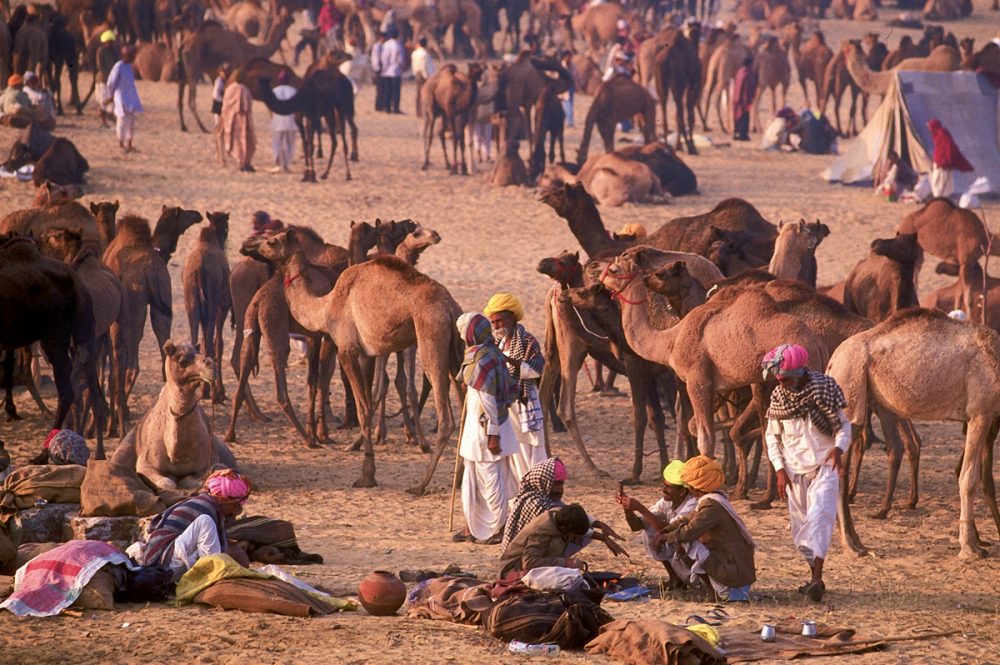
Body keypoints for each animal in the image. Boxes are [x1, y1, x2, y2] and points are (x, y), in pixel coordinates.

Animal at [38, 228, 130, 440]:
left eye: (52, 237)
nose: (37, 239)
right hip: (99, 333)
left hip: (117, 321)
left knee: (116, 369)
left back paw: (120, 431)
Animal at [111, 340, 238, 490]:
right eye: (182, 361)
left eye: (199, 353)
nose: (210, 363)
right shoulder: (146, 464)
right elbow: (167, 483)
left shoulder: (210, 458)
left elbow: (211, 471)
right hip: (126, 446)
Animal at [183, 210, 231, 402]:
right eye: (227, 227)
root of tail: (199, 272)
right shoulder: (223, 304)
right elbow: (218, 343)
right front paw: (220, 392)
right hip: (211, 304)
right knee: (210, 342)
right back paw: (210, 392)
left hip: (192, 304)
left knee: (195, 341)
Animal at [244, 228, 462, 488]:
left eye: (270, 241)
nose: (248, 243)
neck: (325, 305)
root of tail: (450, 306)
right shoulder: (367, 354)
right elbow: (370, 398)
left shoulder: (347, 350)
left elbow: (363, 410)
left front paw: (366, 475)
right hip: (456, 349)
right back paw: (459, 480)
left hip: (431, 335)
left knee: (446, 416)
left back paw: (420, 485)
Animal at [828, 308, 1000, 556]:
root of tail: (833, 359)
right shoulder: (981, 412)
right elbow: (969, 478)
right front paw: (970, 548)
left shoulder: (987, 417)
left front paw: (977, 542)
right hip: (850, 385)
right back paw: (851, 547)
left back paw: (858, 543)